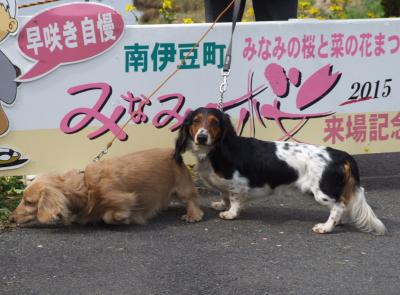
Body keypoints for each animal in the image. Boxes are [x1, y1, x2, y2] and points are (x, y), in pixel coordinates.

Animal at [9, 149, 203, 225]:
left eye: (29, 202)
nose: (10, 219)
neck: (86, 187)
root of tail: (175, 153)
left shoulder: (124, 198)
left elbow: (111, 215)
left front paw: (123, 218)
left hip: (184, 188)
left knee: (192, 200)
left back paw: (192, 215)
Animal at [173, 107, 386, 235]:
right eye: (196, 121)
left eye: (215, 122)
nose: (202, 137)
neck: (215, 150)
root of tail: (342, 156)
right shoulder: (225, 185)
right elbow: (223, 194)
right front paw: (221, 205)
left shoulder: (237, 185)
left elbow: (233, 199)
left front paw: (230, 213)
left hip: (321, 192)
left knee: (338, 207)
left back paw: (326, 227)